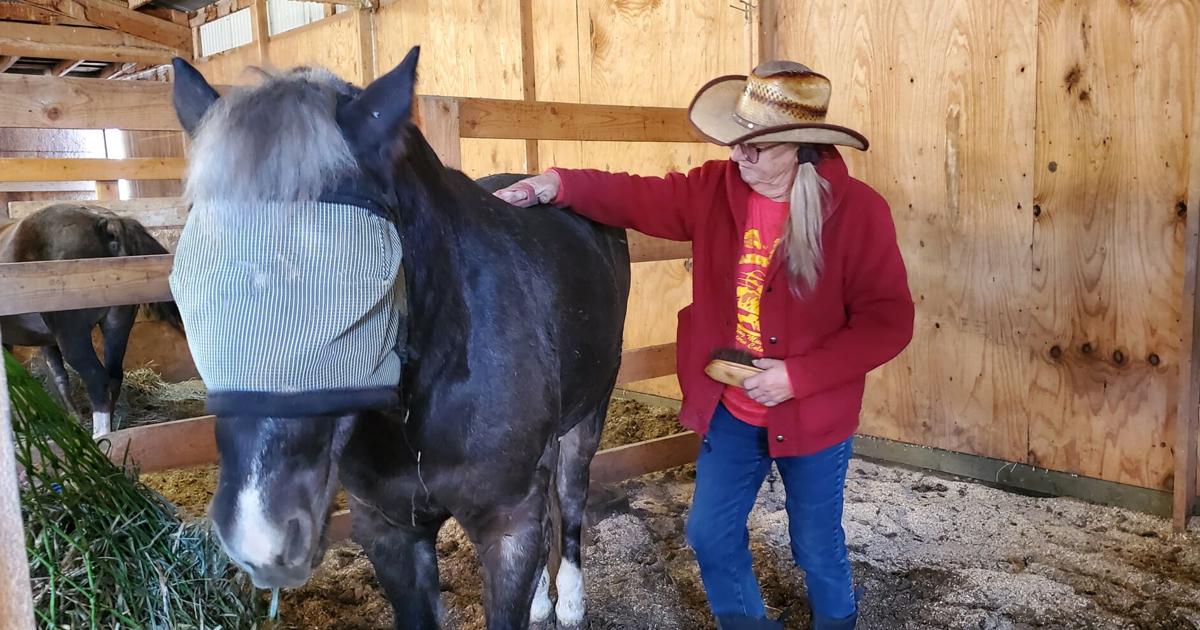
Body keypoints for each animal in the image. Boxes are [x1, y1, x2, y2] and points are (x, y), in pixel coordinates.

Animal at [0, 204, 183, 437]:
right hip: (116, 325)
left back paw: (101, 436)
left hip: (74, 336)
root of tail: (107, 223)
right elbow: (58, 376)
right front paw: (73, 420)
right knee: (113, 378)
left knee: (97, 380)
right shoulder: (46, 341)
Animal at [167, 46, 631, 629]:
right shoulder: (388, 531)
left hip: (588, 416)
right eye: (186, 283)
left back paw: (568, 601)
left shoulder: (509, 528)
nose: (261, 536)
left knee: (569, 498)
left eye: (356, 279)